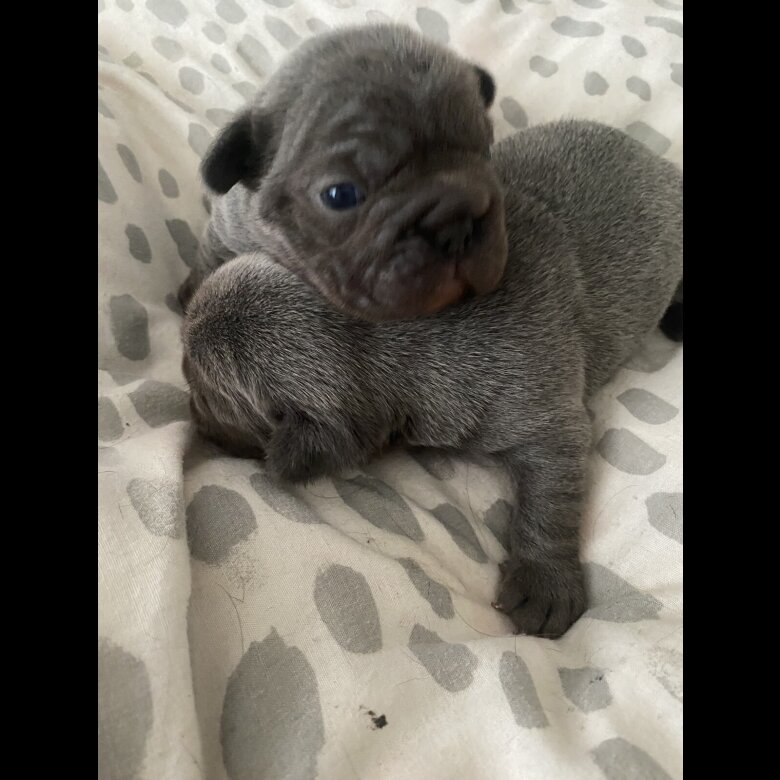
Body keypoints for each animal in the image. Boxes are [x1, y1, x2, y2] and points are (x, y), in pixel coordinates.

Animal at [179, 24, 508, 320]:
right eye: (340, 195)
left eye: (487, 152)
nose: (457, 227)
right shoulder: (224, 230)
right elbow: (210, 257)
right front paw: (189, 295)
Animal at [182, 119, 684, 638]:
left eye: (208, 395)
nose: (190, 410)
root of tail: (656, 159)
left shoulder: (547, 419)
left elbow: (551, 498)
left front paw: (545, 580)